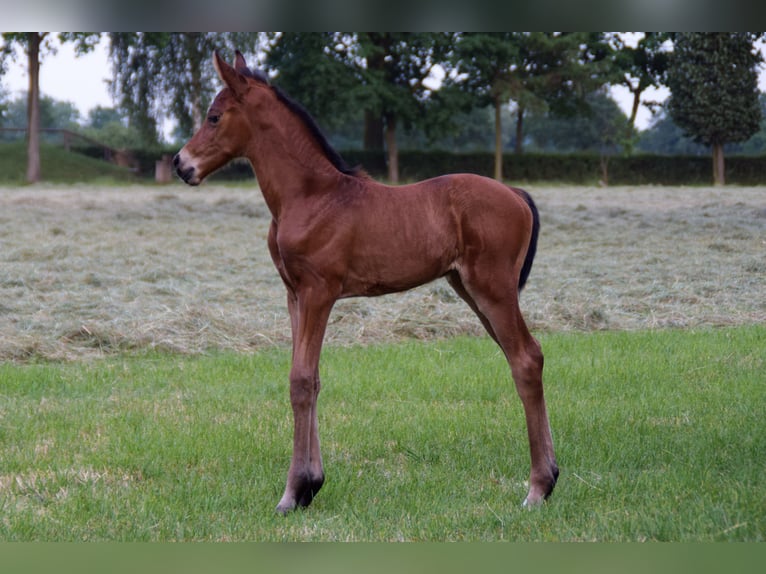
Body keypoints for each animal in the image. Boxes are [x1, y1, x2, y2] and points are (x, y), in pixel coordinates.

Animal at [176, 51, 560, 516]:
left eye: (214, 117)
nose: (180, 164)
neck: (311, 195)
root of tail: (516, 194)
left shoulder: (319, 292)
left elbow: (300, 380)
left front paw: (292, 493)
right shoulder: (293, 295)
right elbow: (312, 378)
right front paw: (311, 485)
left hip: (493, 288)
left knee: (525, 359)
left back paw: (537, 488)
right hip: (468, 289)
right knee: (526, 356)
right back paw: (550, 477)